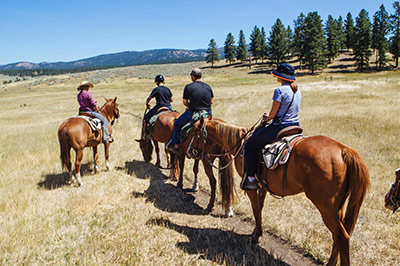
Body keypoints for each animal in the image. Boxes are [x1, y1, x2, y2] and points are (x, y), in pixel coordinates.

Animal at [189, 118, 370, 266]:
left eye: (195, 133)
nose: (190, 151)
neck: (241, 144)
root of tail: (344, 150)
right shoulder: (262, 187)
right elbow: (259, 209)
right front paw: (256, 232)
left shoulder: (251, 187)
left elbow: (255, 208)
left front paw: (256, 236)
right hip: (337, 208)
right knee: (338, 235)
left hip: (326, 208)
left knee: (342, 237)